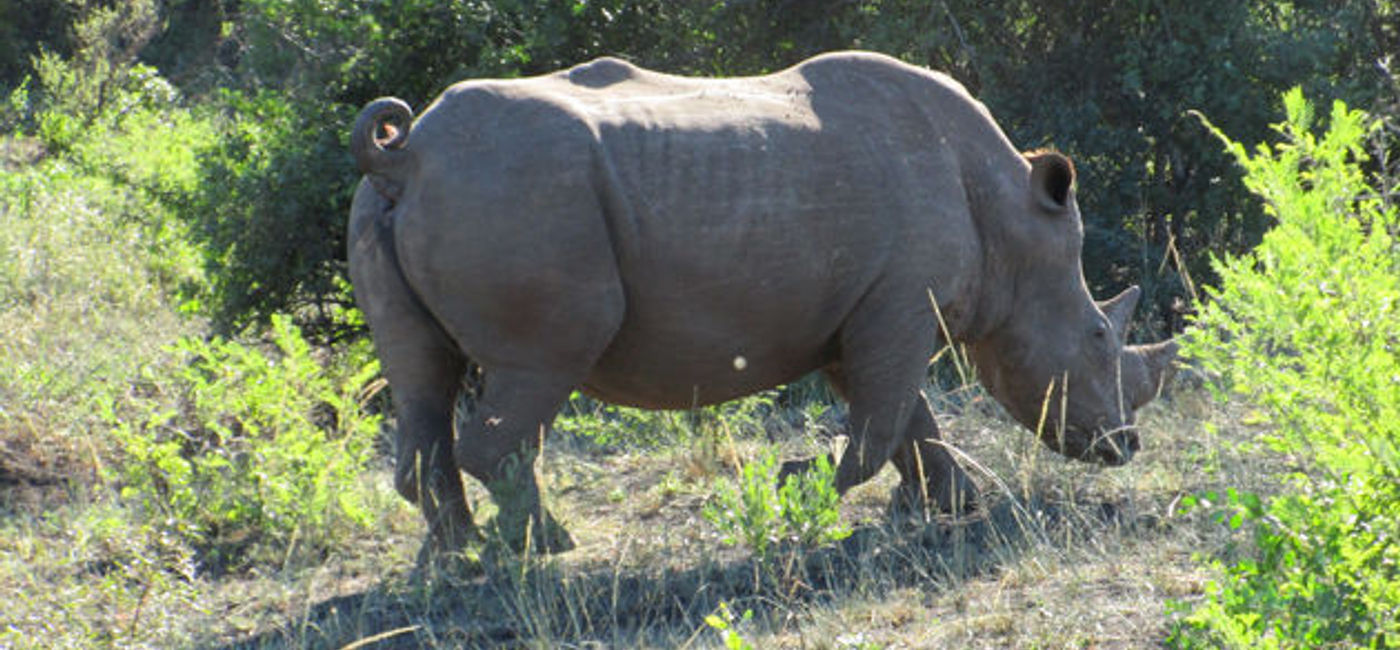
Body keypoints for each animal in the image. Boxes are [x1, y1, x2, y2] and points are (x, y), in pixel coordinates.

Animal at [347, 51, 1178, 557]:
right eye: (1098, 335)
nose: (1127, 445)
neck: (1009, 220)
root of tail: (407, 155)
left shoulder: (866, 309)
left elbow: (909, 421)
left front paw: (953, 506)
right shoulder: (902, 304)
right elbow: (880, 424)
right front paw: (795, 483)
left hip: (424, 203)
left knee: (422, 378)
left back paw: (459, 557)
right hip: (521, 204)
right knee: (539, 367)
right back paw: (548, 548)